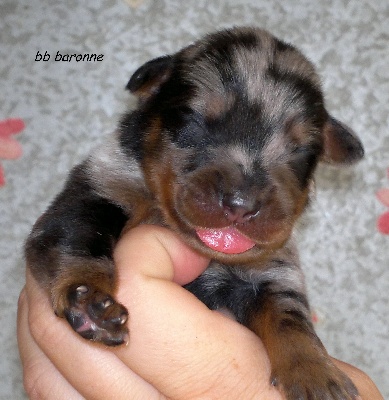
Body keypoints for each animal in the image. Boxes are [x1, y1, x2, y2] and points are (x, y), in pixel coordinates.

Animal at [25, 26, 362, 398]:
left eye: (302, 150)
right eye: (193, 120)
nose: (241, 204)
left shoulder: (272, 270)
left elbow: (289, 314)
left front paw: (316, 371)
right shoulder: (99, 186)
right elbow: (78, 241)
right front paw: (89, 301)